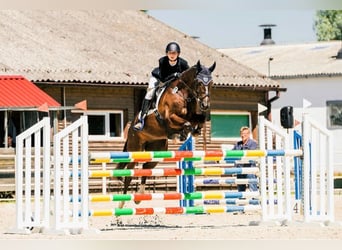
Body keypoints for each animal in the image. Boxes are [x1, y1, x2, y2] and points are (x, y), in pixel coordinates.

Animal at [116, 60, 215, 207]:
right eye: (199, 82)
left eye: (212, 82)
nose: (205, 105)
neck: (182, 93)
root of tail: (131, 130)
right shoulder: (170, 117)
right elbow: (185, 123)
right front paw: (183, 132)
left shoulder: (193, 116)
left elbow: (200, 120)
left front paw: (195, 131)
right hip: (135, 149)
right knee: (130, 173)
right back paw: (122, 203)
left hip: (157, 151)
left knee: (146, 168)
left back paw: (140, 197)